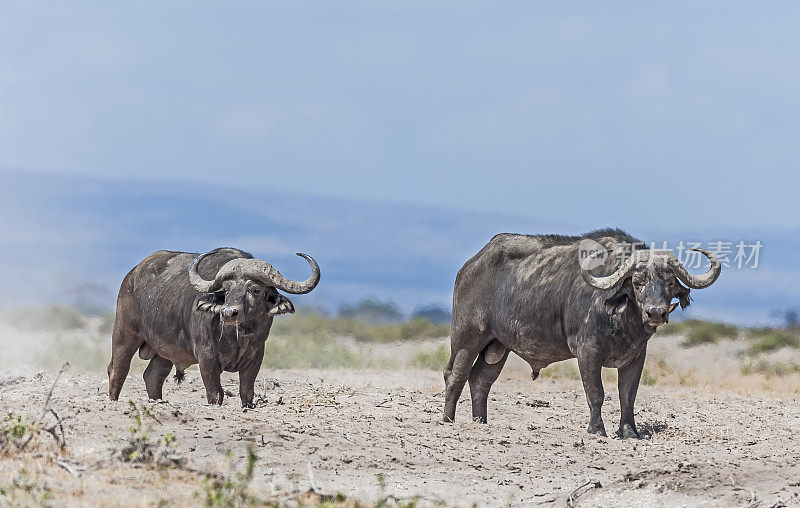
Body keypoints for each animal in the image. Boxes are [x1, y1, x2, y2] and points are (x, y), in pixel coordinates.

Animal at [108, 248, 320, 406]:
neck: (237, 337)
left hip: (165, 352)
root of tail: (132, 275)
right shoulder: (207, 357)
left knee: (152, 376)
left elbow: (247, 392)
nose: (228, 312)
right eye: (226, 289)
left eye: (256, 289)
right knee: (117, 370)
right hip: (124, 335)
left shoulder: (256, 357)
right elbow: (216, 393)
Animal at [444, 229, 720, 436]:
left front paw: (629, 432)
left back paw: (481, 421)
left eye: (669, 281)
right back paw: (448, 419)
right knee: (455, 374)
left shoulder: (635, 357)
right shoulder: (588, 353)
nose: (656, 313)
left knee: (481, 379)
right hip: (467, 337)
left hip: (498, 347)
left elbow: (628, 395)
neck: (621, 320)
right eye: (637, 282)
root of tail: (468, 267)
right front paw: (597, 429)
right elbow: (596, 393)